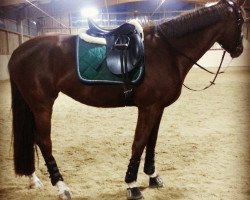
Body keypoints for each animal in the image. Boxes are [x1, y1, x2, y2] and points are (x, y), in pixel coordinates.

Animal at [8, 0, 244, 199]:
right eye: (241, 20)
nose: (240, 50)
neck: (167, 52)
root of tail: (18, 51)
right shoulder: (148, 107)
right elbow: (138, 143)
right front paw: (132, 185)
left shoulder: (158, 108)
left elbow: (151, 142)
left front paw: (153, 176)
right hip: (42, 105)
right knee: (44, 141)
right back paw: (61, 186)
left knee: (32, 138)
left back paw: (34, 179)